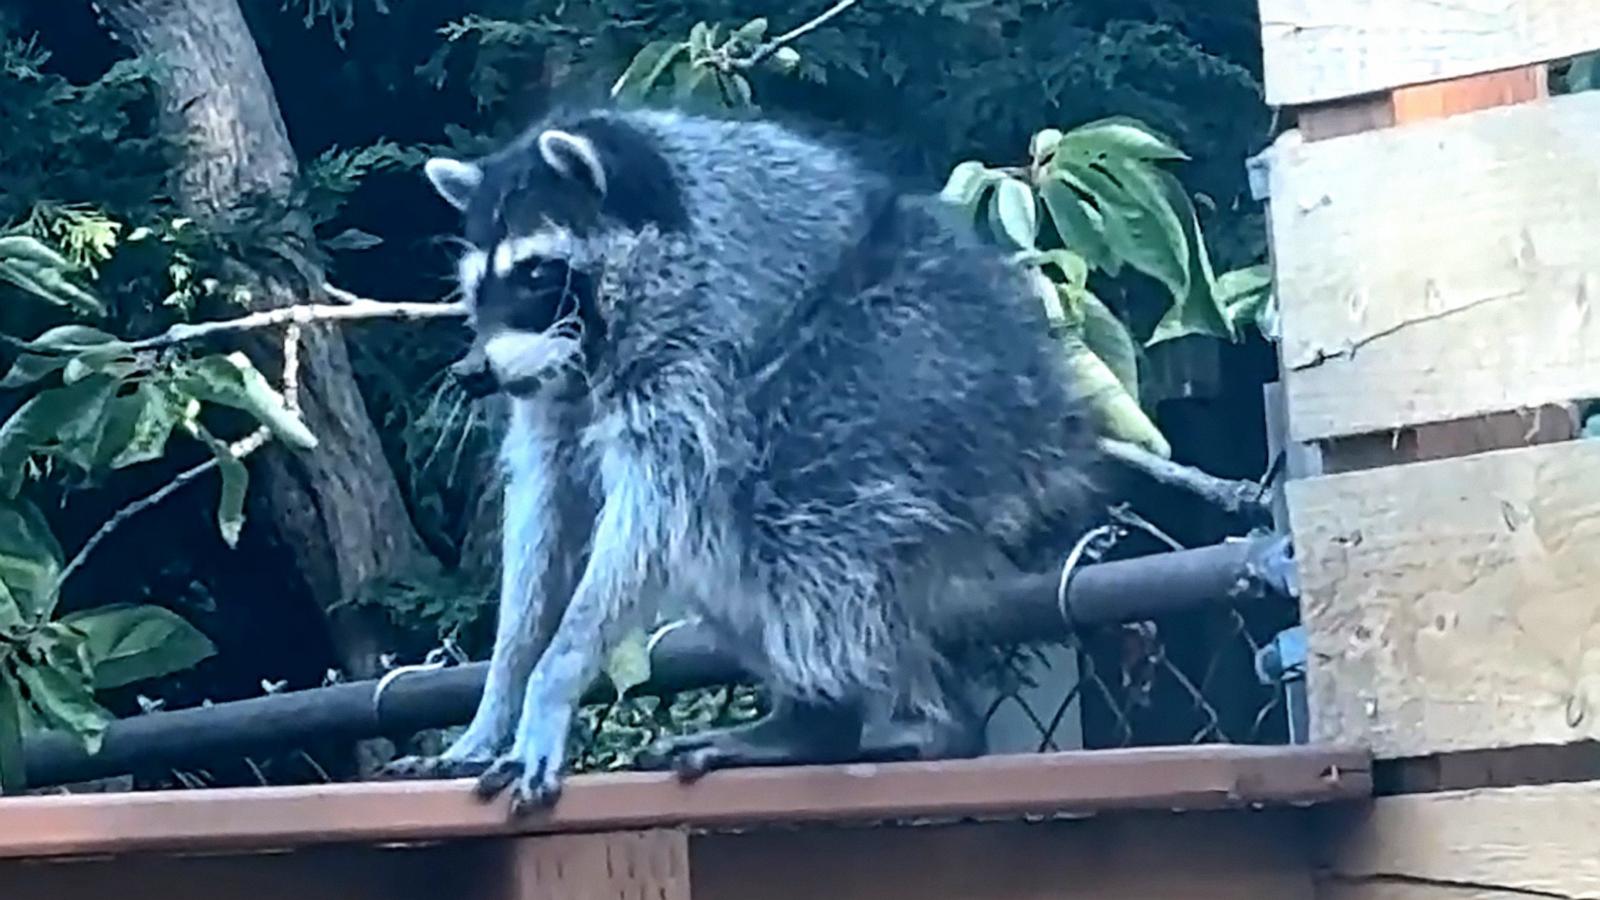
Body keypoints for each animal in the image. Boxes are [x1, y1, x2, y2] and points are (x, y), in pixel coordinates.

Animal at [382, 105, 1104, 812]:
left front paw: (555, 677)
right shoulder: (554, 396)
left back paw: (858, 722)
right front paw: (500, 696)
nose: (472, 373)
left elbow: (645, 516)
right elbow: (546, 515)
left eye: (534, 274)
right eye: (475, 287)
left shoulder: (696, 349)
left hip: (908, 377)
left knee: (782, 529)